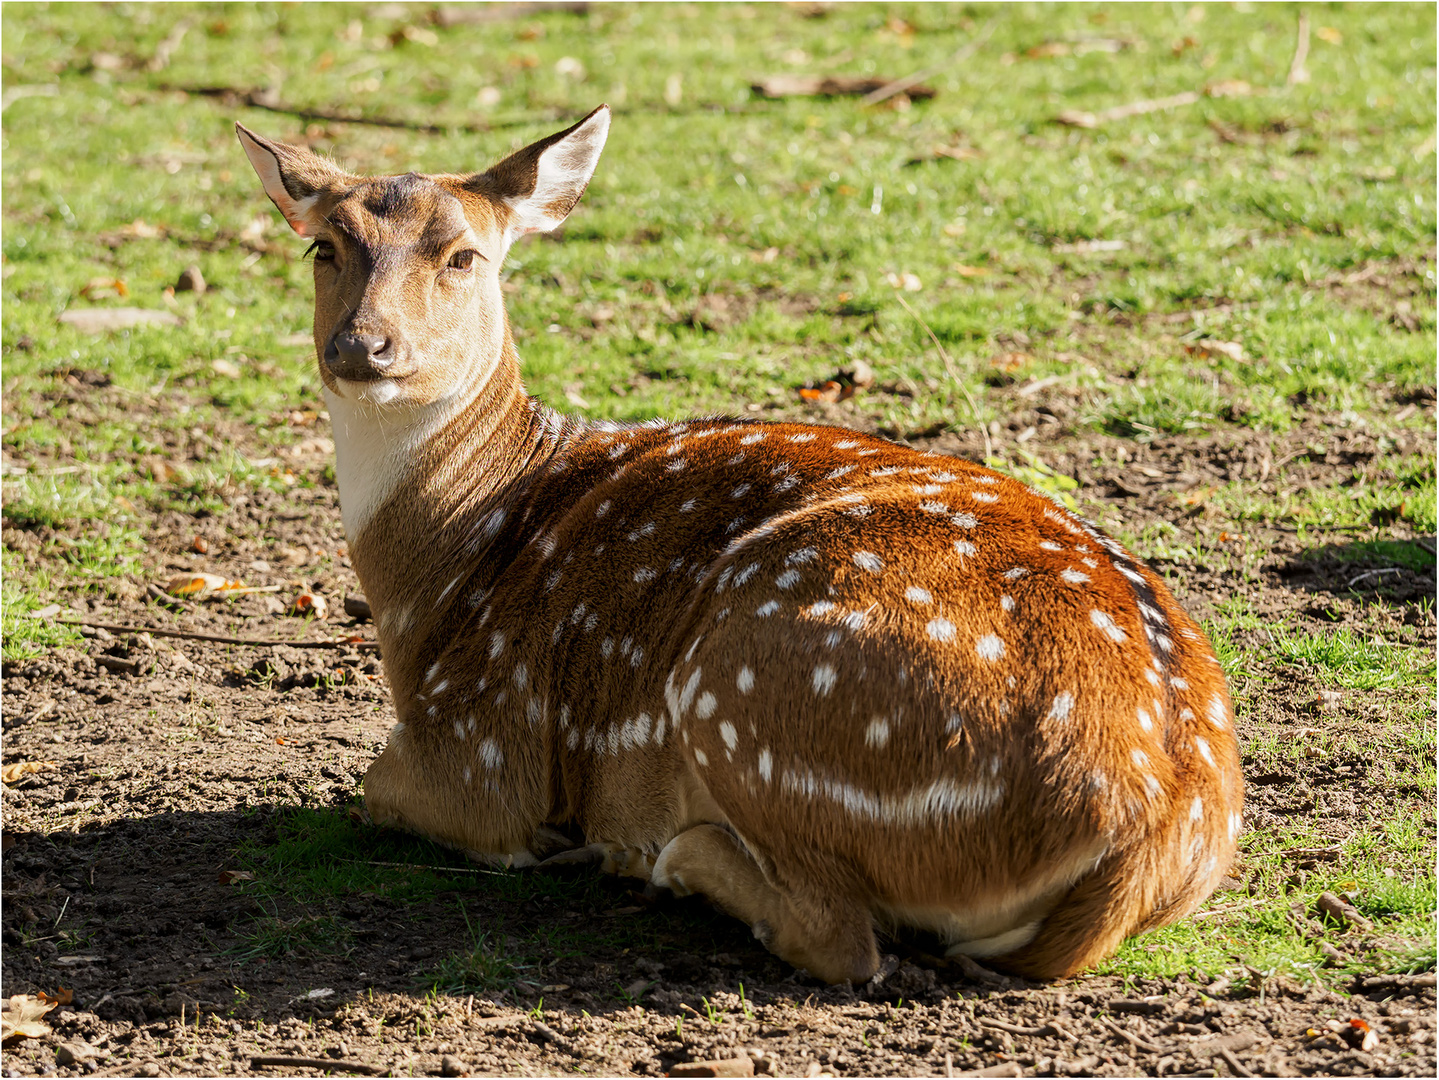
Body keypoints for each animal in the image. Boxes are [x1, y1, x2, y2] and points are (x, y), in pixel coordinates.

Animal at [233, 105, 1237, 983]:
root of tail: (1139, 833)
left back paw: (658, 858)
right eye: (324, 246)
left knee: (840, 939)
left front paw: (557, 845)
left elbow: (379, 785)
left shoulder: (483, 742)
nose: (362, 346)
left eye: (463, 255)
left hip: (740, 684)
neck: (433, 587)